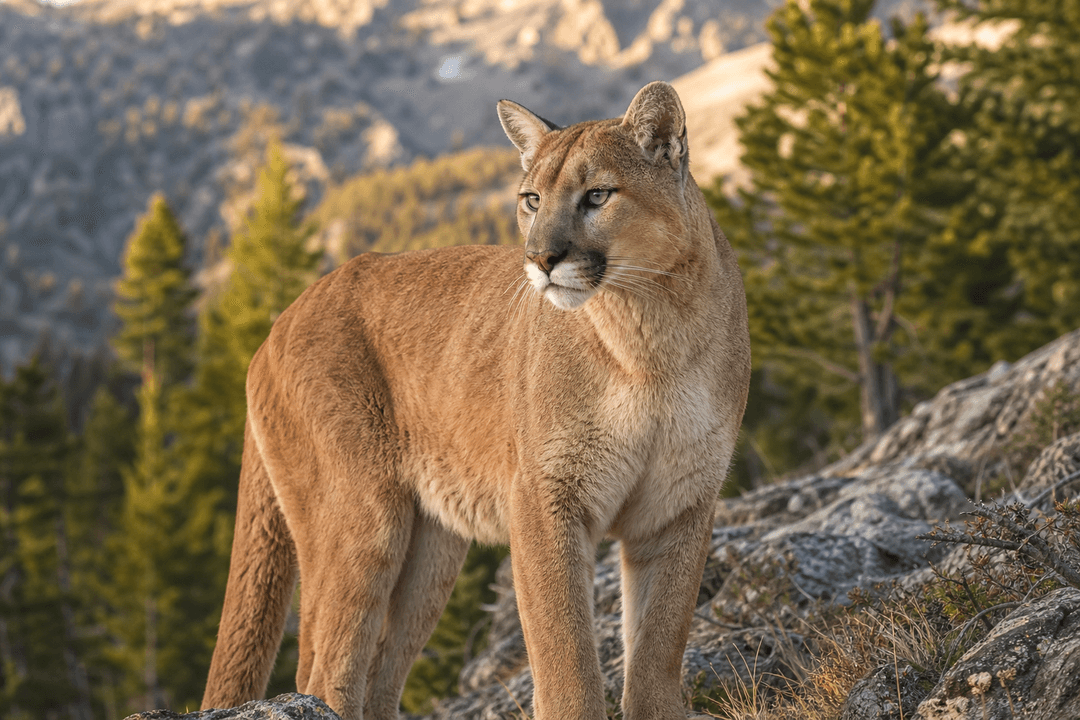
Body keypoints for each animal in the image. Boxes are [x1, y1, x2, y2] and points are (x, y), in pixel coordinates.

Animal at [201, 81, 751, 720]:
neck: (650, 337)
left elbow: (658, 648)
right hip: (361, 518)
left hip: (431, 556)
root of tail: (274, 326)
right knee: (324, 664)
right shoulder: (544, 498)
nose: (541, 259)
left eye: (597, 195)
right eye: (532, 199)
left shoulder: (679, 506)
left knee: (376, 670)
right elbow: (565, 656)